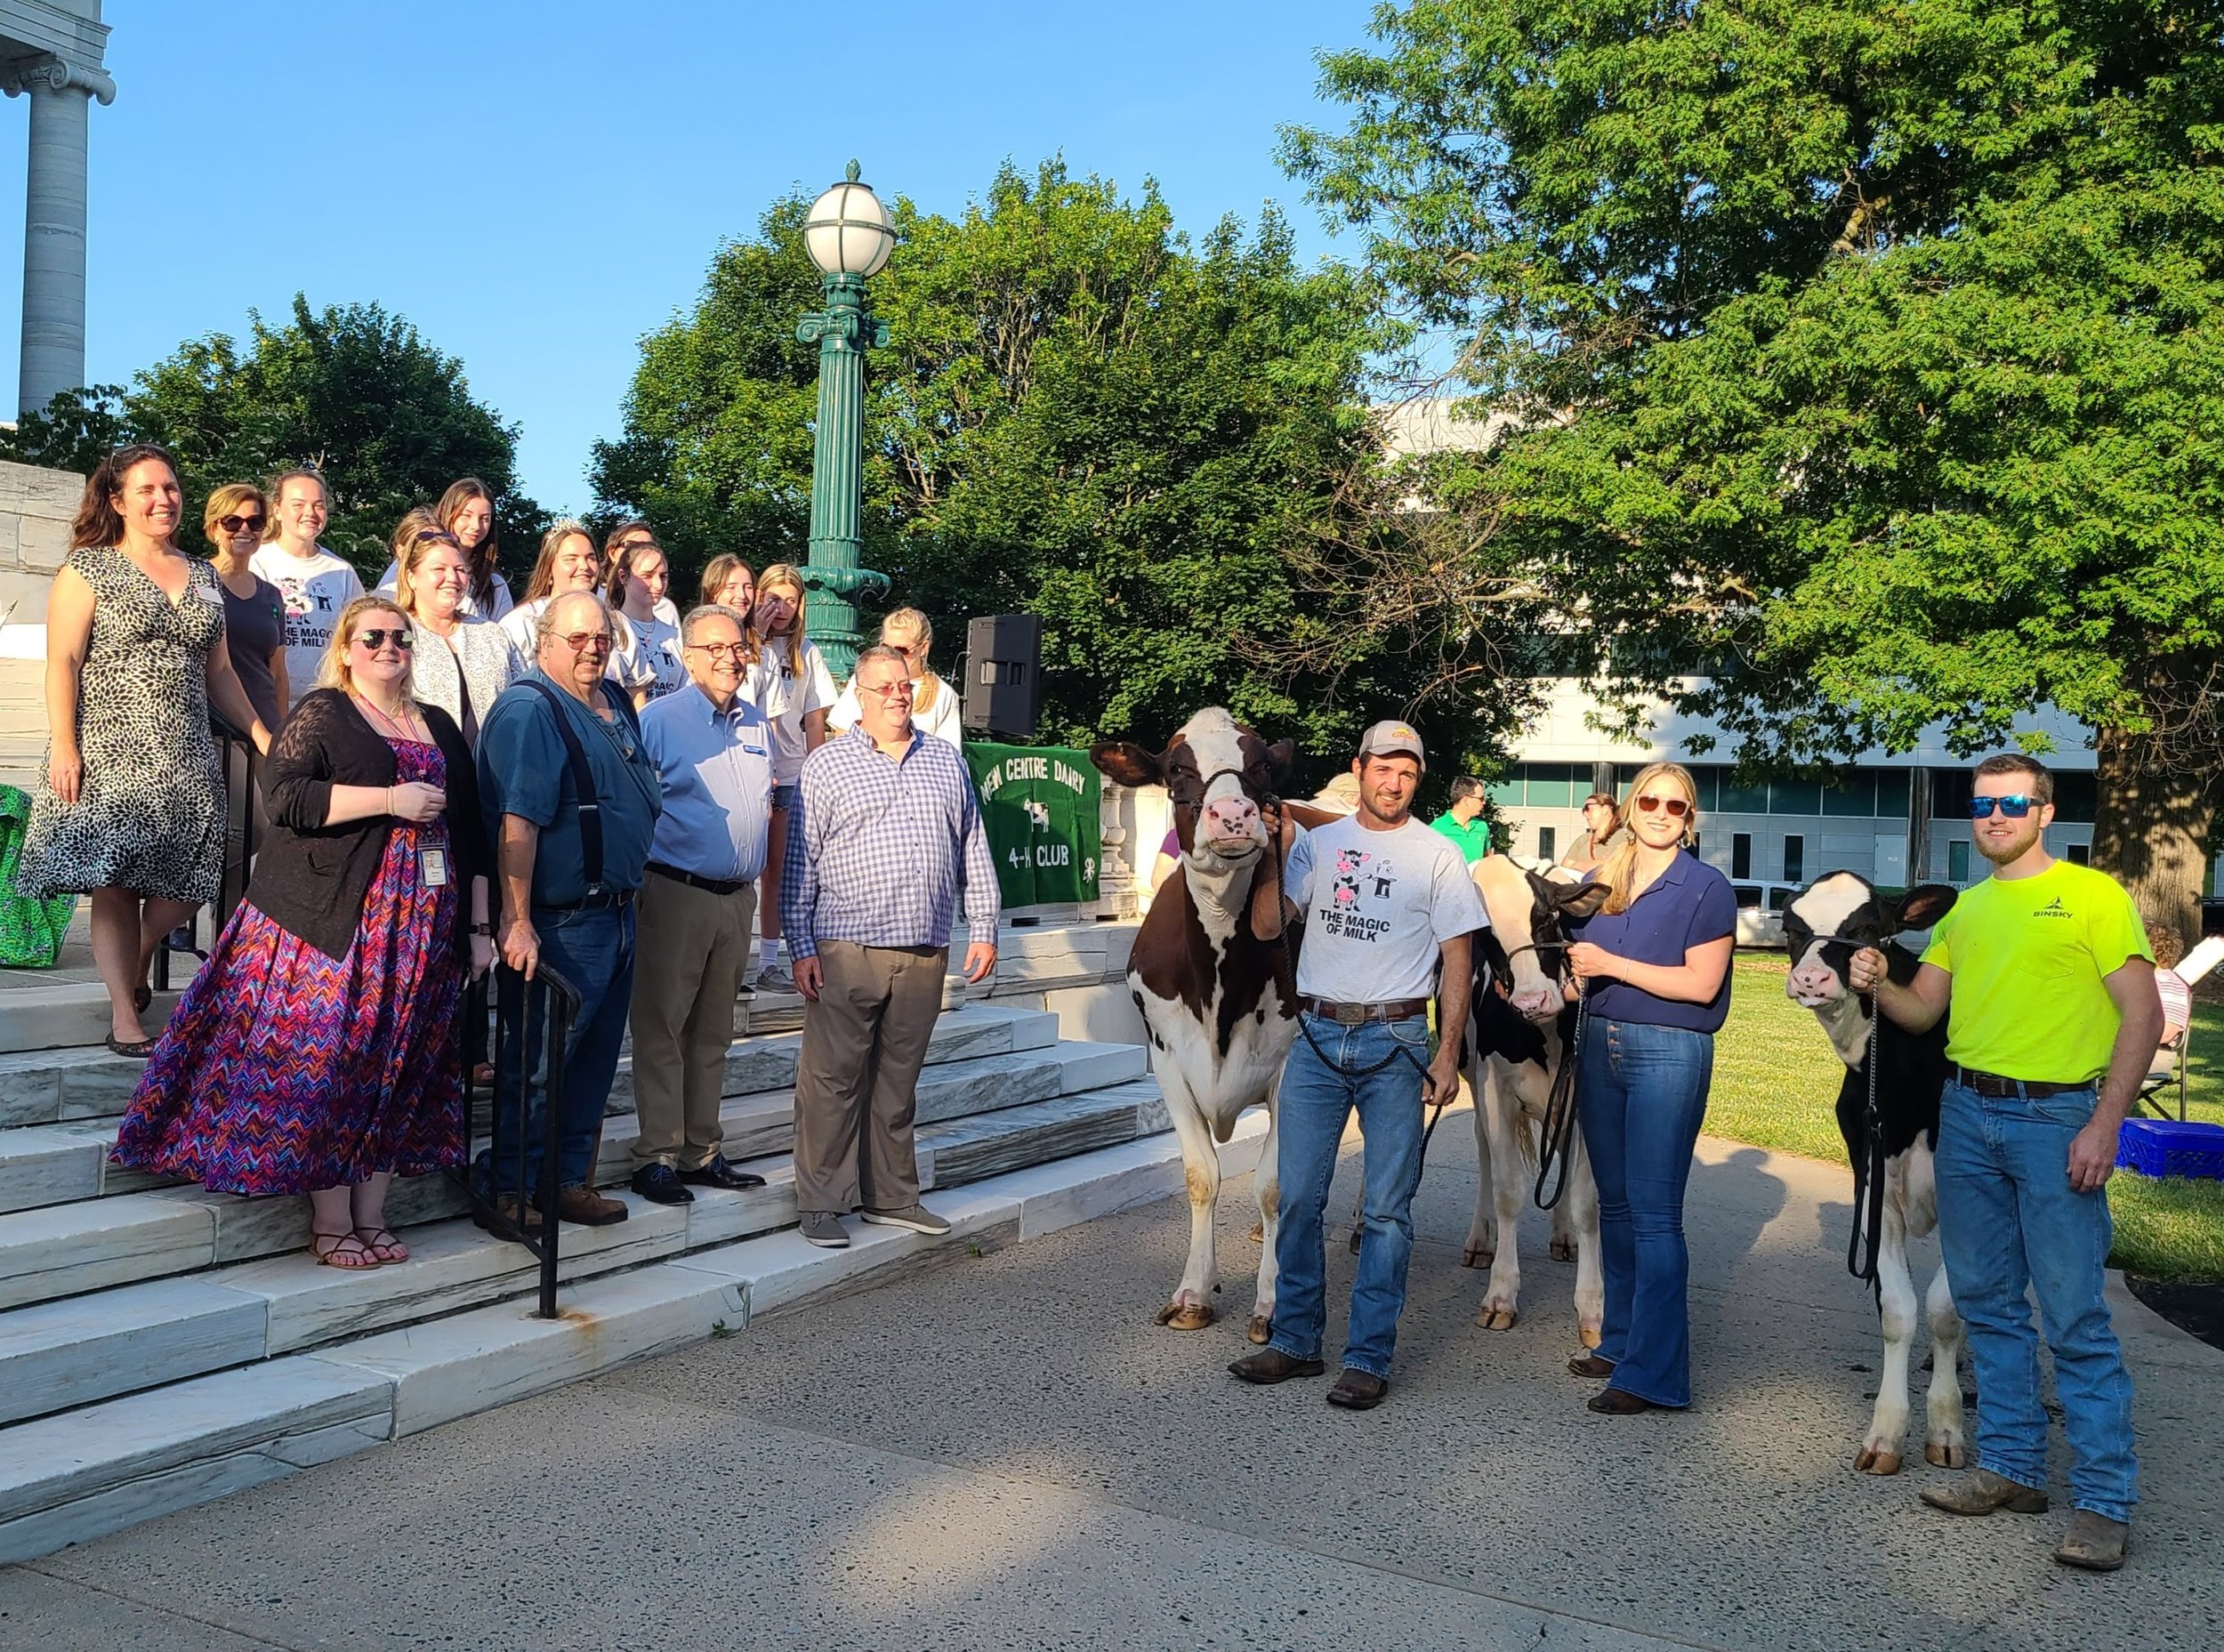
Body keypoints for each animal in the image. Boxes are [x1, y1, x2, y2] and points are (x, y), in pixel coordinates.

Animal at [1468, 858, 1610, 1351]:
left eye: (1546, 918)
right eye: (1485, 935)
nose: (1533, 1000)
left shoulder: (1584, 1097)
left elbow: (1588, 1202)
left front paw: (1592, 1308)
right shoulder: (1494, 1090)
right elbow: (1508, 1191)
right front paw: (1500, 1294)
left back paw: (1563, 1235)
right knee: (1485, 1155)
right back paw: (1479, 1239)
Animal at [1779, 871, 1975, 1476]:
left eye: (1868, 929)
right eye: (1793, 929)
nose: (1811, 979)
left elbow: (1945, 1311)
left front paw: (1946, 1426)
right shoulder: (1875, 1194)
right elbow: (1899, 1311)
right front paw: (1887, 1433)